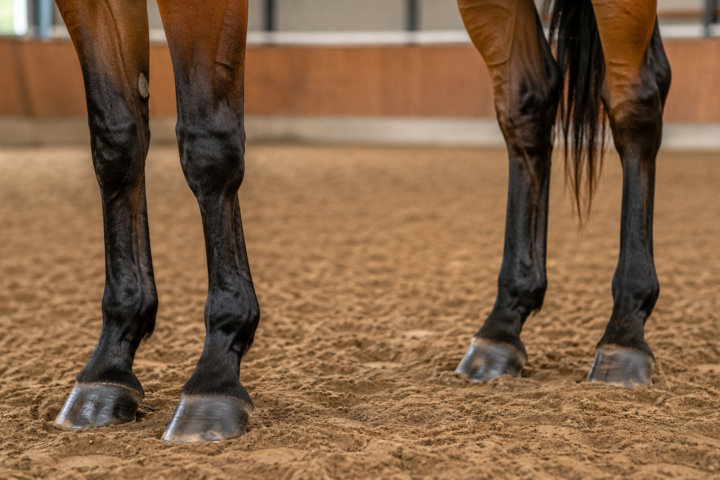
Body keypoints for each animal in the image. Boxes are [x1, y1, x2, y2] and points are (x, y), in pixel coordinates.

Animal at [51, 0, 669, 443]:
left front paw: (216, 370)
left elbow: (208, 145)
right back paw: (502, 327)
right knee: (528, 99)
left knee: (634, 96)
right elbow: (117, 140)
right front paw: (109, 365)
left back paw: (624, 332)